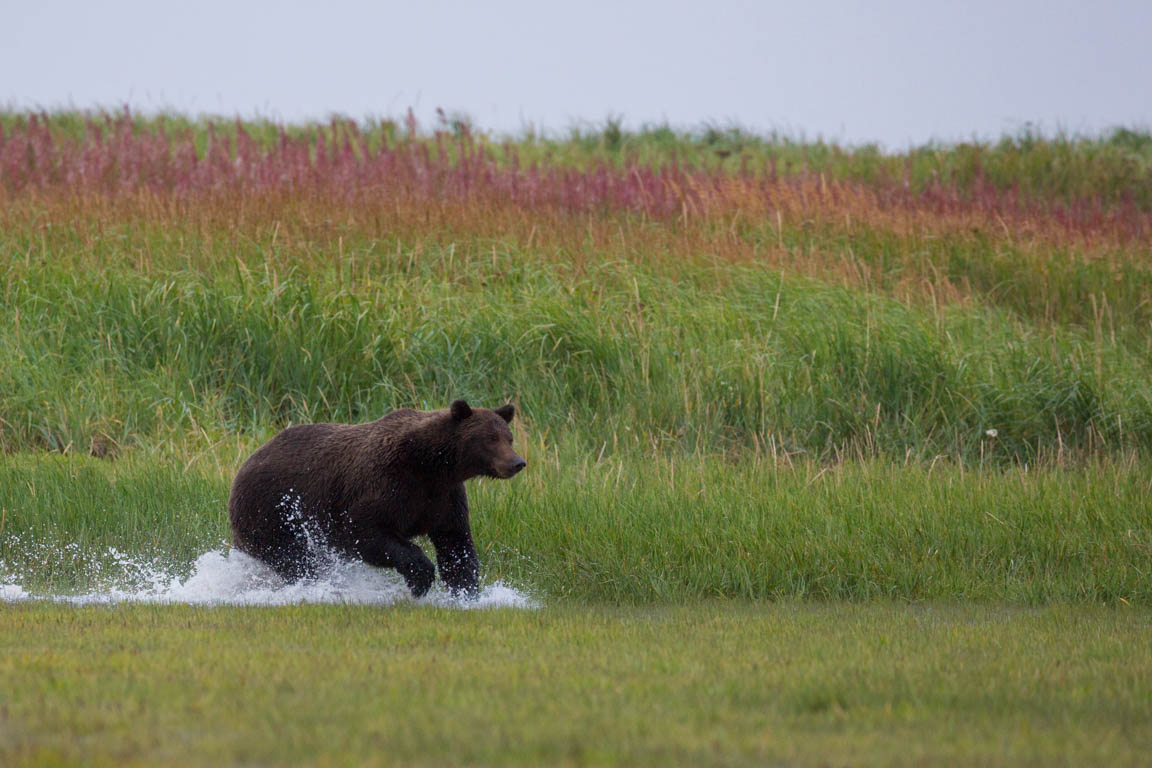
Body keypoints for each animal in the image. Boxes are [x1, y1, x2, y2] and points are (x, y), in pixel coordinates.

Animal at [226, 402, 525, 598]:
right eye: (490, 439)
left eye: (509, 438)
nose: (517, 462)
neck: (430, 464)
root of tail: (245, 464)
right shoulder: (384, 484)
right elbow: (365, 532)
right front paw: (421, 578)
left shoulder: (443, 498)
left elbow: (456, 544)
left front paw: (466, 593)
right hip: (271, 511)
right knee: (293, 557)